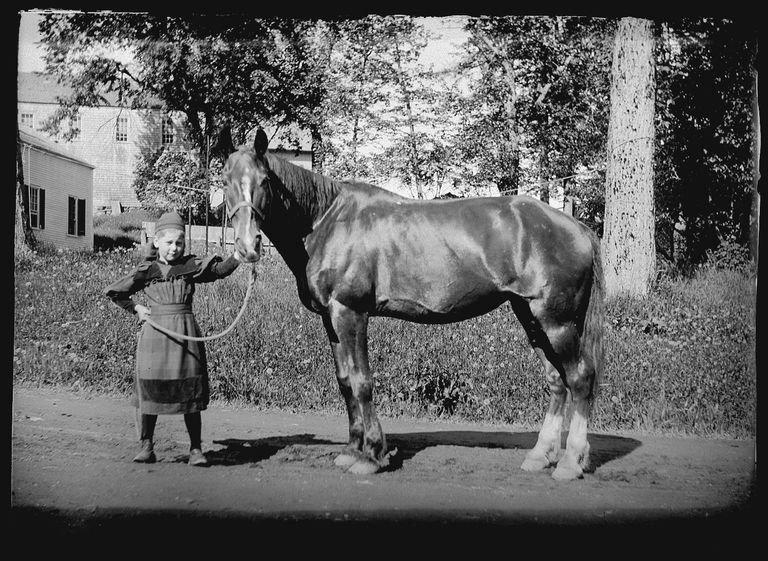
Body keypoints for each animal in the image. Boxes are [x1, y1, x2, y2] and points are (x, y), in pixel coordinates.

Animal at [218, 128, 608, 482]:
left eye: (264, 181)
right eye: (225, 180)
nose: (247, 246)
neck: (327, 220)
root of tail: (577, 228)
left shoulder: (351, 313)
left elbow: (362, 382)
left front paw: (371, 456)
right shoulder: (331, 319)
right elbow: (345, 383)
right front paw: (352, 451)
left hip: (557, 322)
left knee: (580, 378)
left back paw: (571, 462)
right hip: (530, 317)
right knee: (556, 380)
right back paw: (541, 456)